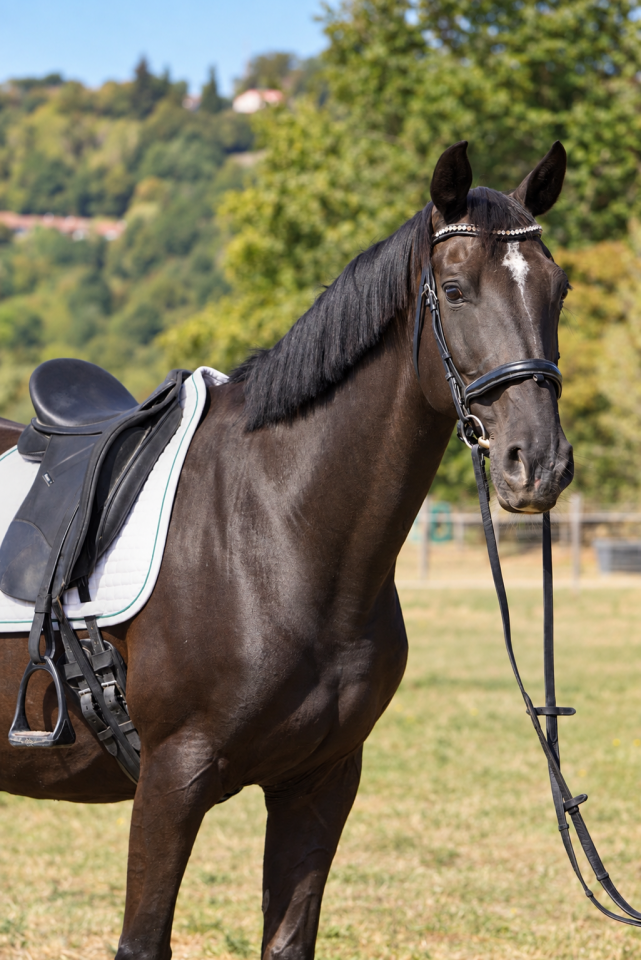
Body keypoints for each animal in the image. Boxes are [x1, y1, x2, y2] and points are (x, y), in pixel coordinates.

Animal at [0, 140, 573, 960]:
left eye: (558, 290)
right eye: (456, 290)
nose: (540, 464)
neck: (273, 530)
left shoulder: (320, 782)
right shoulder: (173, 777)